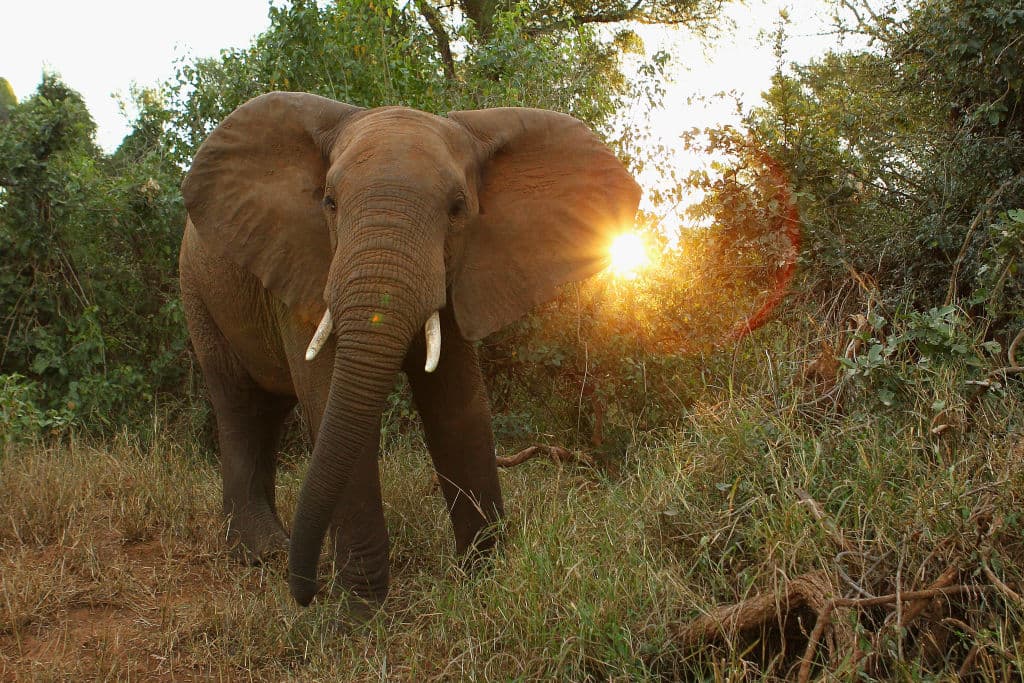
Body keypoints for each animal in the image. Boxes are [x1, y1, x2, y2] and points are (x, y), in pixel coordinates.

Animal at [177, 91, 640, 609]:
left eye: (458, 208)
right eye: (329, 202)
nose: (305, 594)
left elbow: (458, 405)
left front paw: (486, 580)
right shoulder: (305, 265)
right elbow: (329, 398)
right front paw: (359, 614)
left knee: (267, 411)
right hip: (197, 290)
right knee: (239, 405)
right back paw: (262, 553)